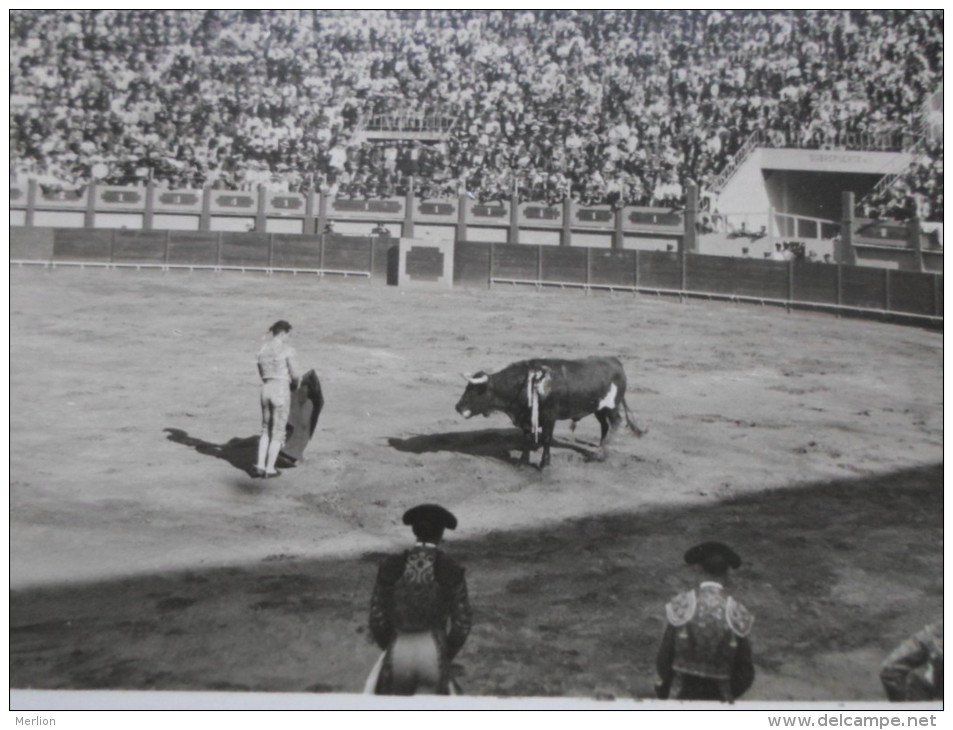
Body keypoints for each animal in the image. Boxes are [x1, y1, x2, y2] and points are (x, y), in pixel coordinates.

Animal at [454, 356, 648, 466]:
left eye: (475, 390)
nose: (458, 407)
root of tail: (615, 362)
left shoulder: (549, 417)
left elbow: (546, 439)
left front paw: (544, 464)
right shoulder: (526, 419)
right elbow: (526, 438)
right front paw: (522, 462)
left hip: (612, 406)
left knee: (615, 422)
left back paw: (602, 454)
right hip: (598, 409)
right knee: (604, 426)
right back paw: (600, 446)